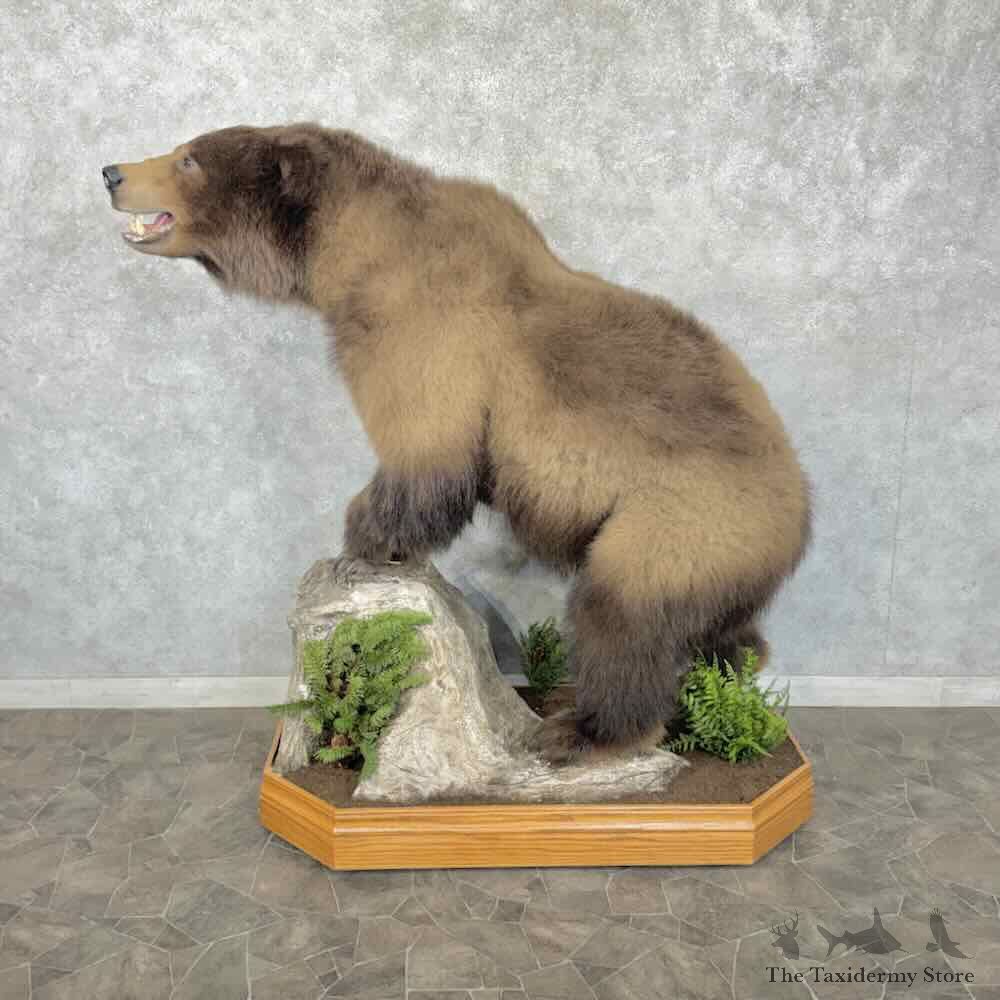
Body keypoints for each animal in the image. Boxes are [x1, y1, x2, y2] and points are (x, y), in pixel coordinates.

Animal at [103, 123, 811, 761]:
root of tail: (799, 509)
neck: (349, 259)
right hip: (718, 556)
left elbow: (427, 457)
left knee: (623, 622)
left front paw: (359, 549)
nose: (112, 171)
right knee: (715, 628)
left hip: (677, 523)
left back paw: (585, 732)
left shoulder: (430, 337)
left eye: (188, 157)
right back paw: (727, 674)